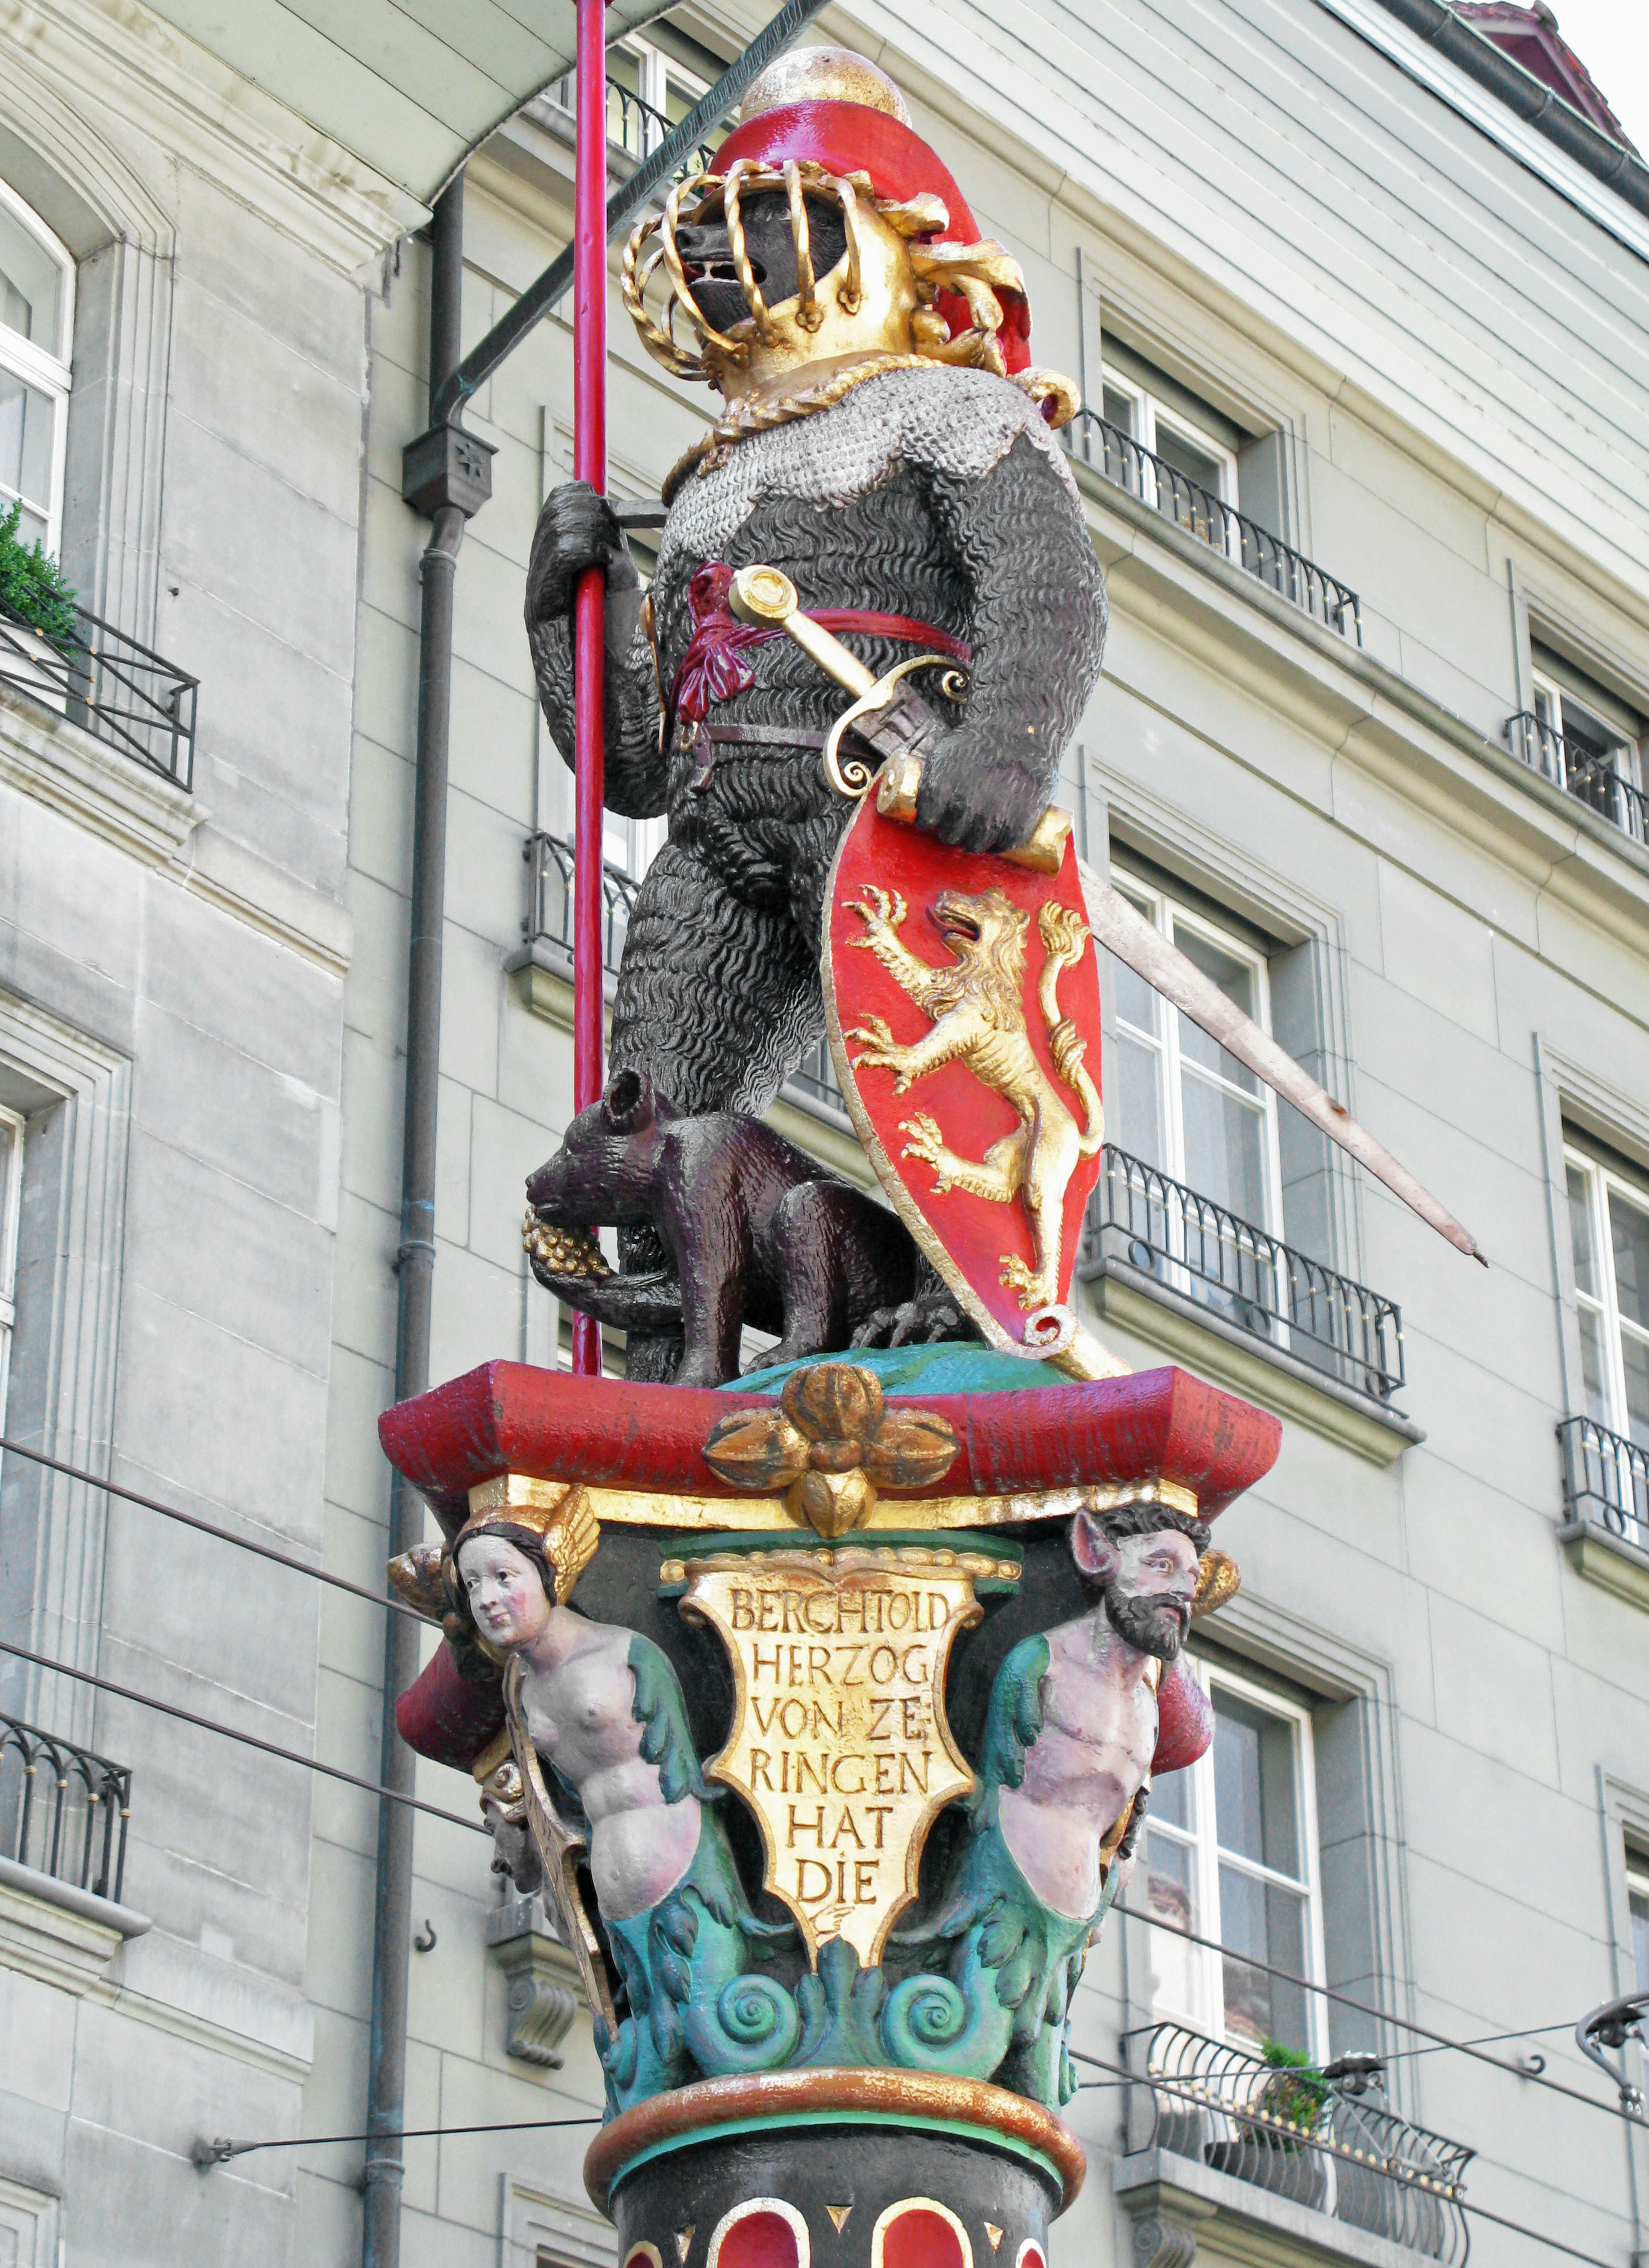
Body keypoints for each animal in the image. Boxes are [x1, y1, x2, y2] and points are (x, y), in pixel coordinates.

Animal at [843, 880, 1102, 1315]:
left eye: (983, 904)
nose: (945, 895)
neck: (985, 970)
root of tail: (1077, 1133)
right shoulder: (943, 990)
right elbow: (912, 969)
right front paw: (881, 927)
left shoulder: (969, 1020)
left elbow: (930, 1049)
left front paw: (892, 1053)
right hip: (1016, 1141)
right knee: (998, 1182)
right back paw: (938, 1155)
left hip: (1048, 1151)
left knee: (1042, 1204)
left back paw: (1037, 1289)